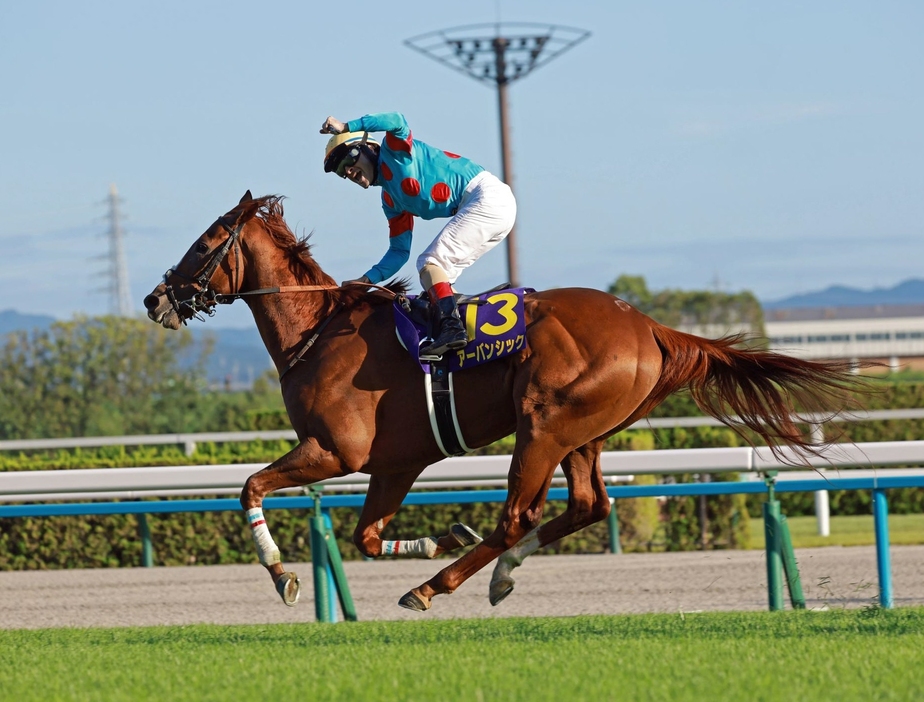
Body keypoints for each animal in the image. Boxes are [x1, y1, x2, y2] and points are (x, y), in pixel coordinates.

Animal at [143, 195, 860, 612]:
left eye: (204, 243)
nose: (155, 298)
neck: (318, 332)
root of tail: (650, 326)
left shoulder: (334, 451)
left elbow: (250, 486)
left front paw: (282, 577)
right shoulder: (395, 463)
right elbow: (366, 537)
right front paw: (440, 535)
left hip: (542, 424)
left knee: (520, 514)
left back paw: (435, 587)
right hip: (584, 432)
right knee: (587, 505)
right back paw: (495, 575)